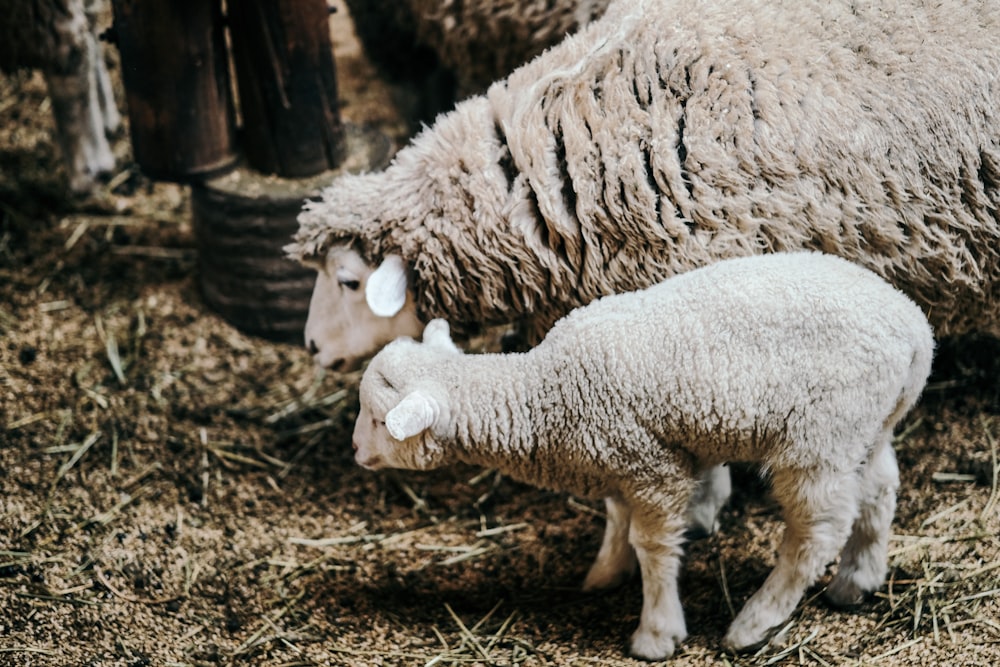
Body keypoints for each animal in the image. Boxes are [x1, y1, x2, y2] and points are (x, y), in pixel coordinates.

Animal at [354, 252, 936, 664]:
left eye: (381, 421)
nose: (358, 451)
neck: (546, 393)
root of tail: (916, 330)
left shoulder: (652, 466)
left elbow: (653, 544)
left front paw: (656, 631)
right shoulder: (616, 458)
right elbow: (617, 519)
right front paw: (605, 573)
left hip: (819, 439)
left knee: (817, 532)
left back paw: (754, 622)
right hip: (869, 423)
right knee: (879, 489)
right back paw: (857, 580)